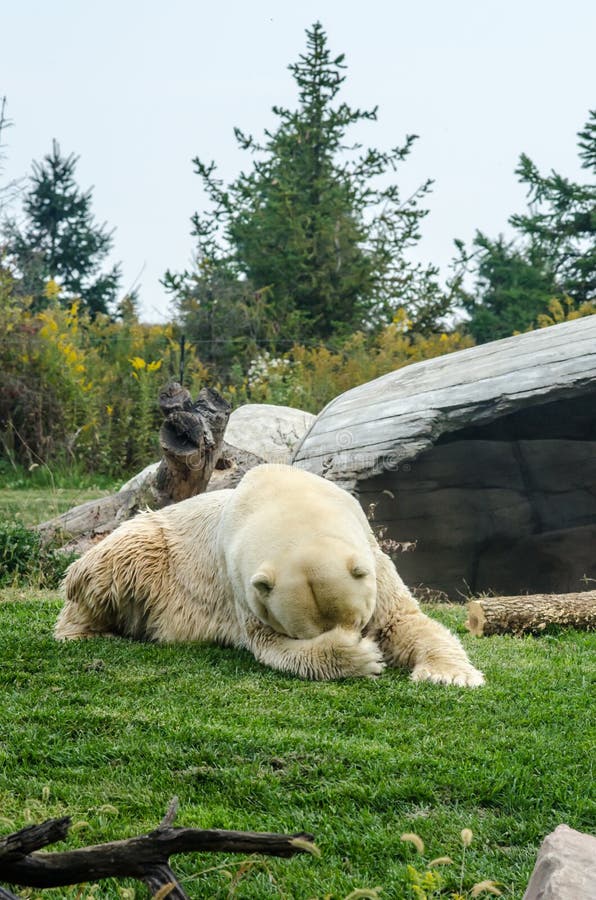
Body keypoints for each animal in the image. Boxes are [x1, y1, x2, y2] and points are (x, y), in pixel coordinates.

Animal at [54, 464, 484, 684]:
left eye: (360, 621)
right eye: (305, 633)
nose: (359, 638)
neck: (291, 500)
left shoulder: (373, 554)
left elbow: (404, 621)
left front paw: (451, 675)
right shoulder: (242, 589)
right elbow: (271, 646)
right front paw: (363, 659)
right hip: (145, 549)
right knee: (111, 567)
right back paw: (85, 631)